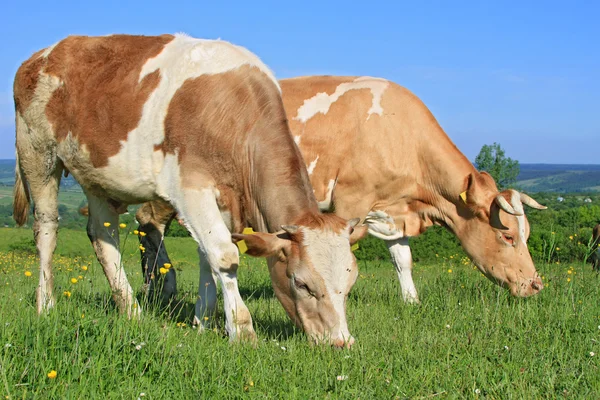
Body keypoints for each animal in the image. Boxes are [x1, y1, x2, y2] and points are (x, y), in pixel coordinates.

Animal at [11, 34, 364, 346]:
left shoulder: (225, 197)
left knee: (103, 235)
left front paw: (203, 322)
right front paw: (242, 330)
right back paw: (47, 305)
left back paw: (131, 310)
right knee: (47, 229)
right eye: (301, 283)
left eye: (349, 285)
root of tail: (43, 54)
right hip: (37, 153)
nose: (341, 343)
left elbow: (207, 256)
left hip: (96, 175)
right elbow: (224, 255)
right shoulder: (189, 186)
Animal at [132, 76, 548, 304]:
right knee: (148, 221)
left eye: (527, 234)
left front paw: (411, 301)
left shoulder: (391, 206)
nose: (536, 285)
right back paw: (161, 286)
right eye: (508, 236)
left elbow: (403, 258)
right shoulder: (351, 201)